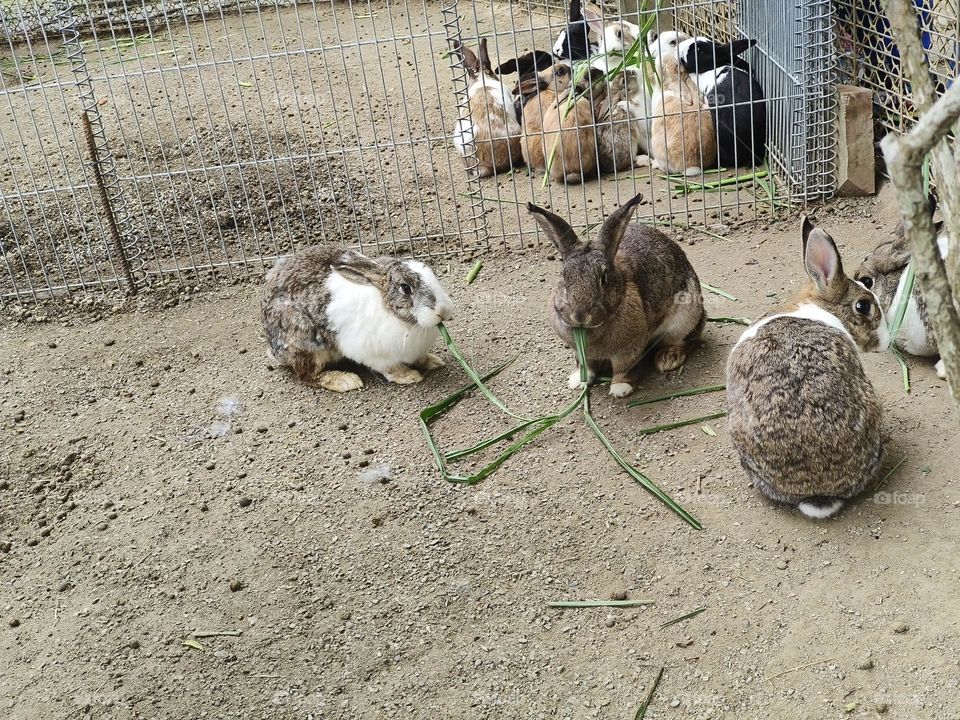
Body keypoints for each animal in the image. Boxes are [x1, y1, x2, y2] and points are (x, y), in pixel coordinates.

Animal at [261, 245, 454, 392]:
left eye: (433, 275)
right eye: (405, 288)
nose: (444, 311)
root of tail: (274, 350)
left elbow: (421, 358)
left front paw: (434, 361)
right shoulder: (376, 355)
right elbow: (391, 368)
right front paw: (409, 376)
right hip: (308, 345)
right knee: (307, 376)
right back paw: (346, 381)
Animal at [527, 191, 705, 398]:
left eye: (603, 278)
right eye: (563, 276)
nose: (580, 315)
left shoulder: (628, 350)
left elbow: (624, 368)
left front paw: (620, 389)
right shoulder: (581, 353)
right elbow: (586, 365)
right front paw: (578, 380)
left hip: (685, 318)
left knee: (688, 339)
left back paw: (668, 359)